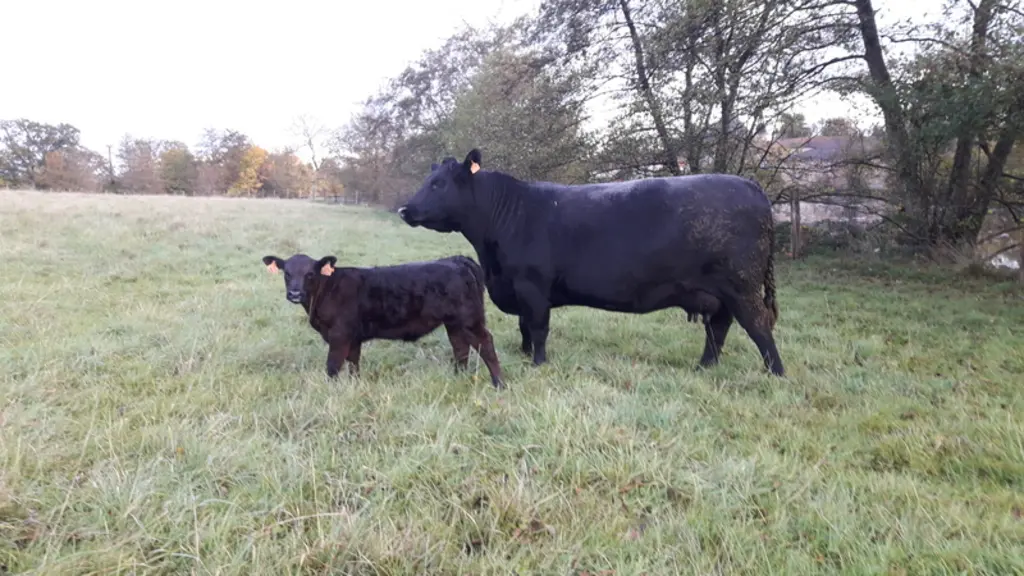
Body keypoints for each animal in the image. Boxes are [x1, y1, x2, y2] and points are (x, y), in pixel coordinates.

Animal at [261, 252, 505, 388]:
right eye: (287, 273)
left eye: (310, 274)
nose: (294, 294)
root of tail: (457, 259)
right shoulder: (353, 337)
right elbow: (353, 363)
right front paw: (355, 385)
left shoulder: (339, 335)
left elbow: (332, 367)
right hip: (454, 323)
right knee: (460, 346)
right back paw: (457, 377)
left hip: (470, 319)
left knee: (485, 343)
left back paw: (499, 384)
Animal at [396, 149, 785, 376]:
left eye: (439, 183)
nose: (404, 209)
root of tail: (751, 186)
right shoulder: (518, 288)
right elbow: (524, 327)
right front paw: (524, 355)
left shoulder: (532, 286)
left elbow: (537, 327)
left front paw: (538, 363)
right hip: (720, 293)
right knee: (718, 328)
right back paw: (704, 368)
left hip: (742, 286)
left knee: (759, 326)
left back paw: (775, 374)